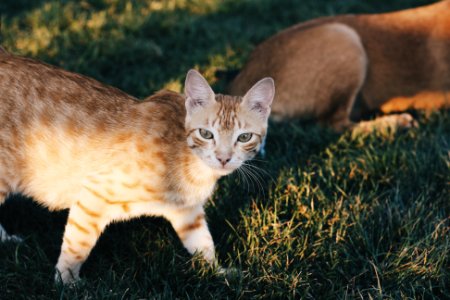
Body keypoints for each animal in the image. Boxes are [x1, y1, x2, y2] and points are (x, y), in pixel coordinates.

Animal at [0, 50, 274, 284]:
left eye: (244, 137)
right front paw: (67, 282)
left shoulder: (187, 211)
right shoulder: (93, 196)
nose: (223, 158)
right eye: (206, 134)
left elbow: (203, 243)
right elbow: (76, 247)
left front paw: (218, 271)